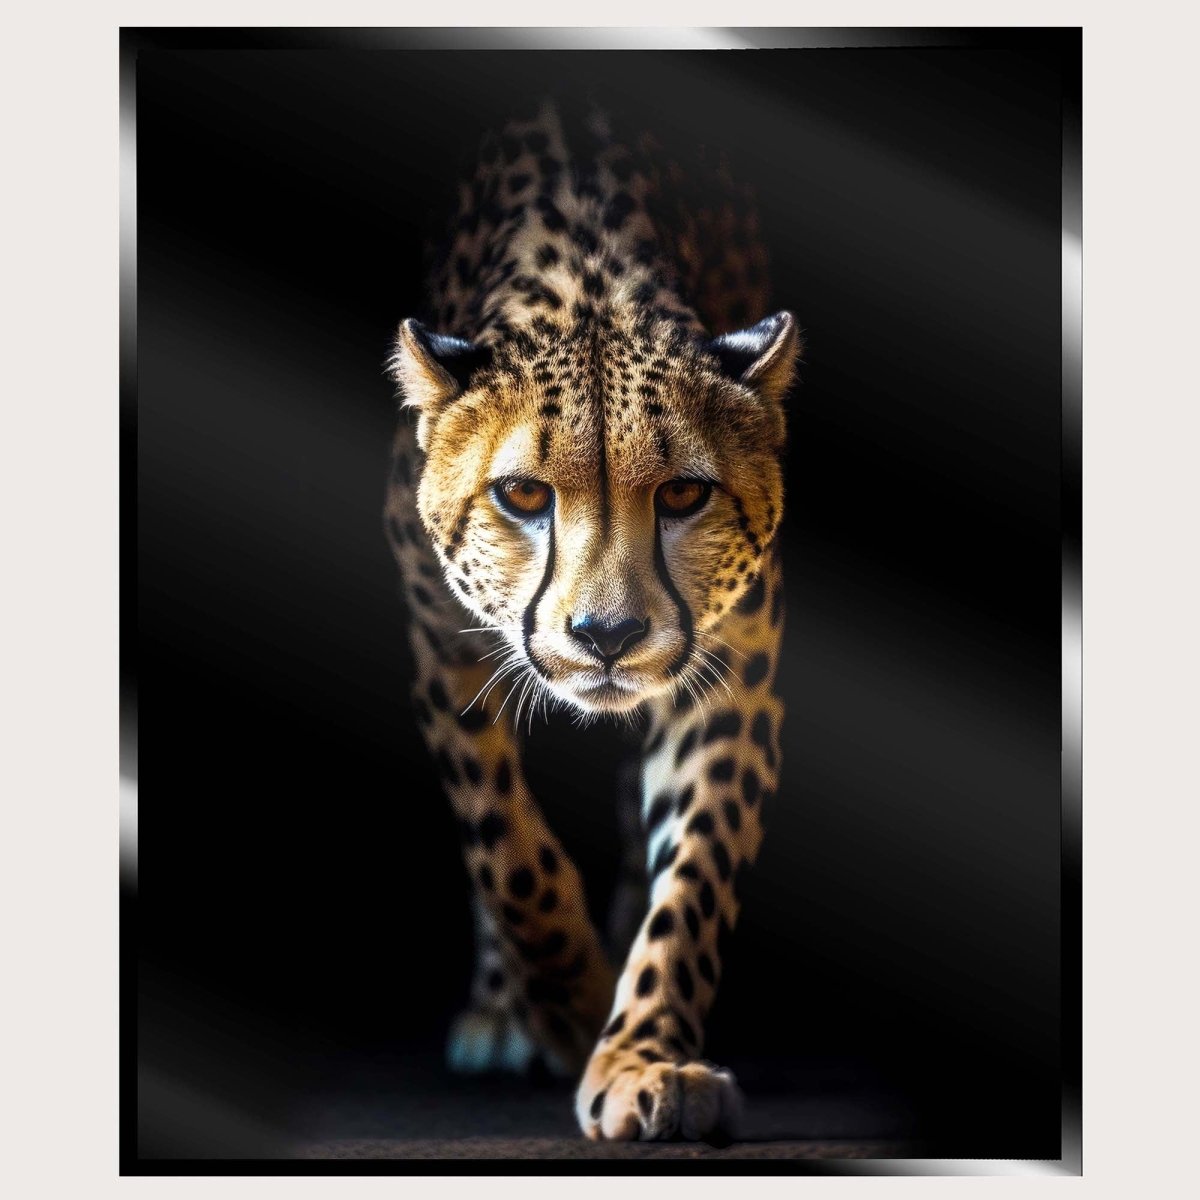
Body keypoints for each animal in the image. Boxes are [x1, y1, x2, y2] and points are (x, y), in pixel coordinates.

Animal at [384, 98, 800, 1142]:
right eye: (523, 494)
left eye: (685, 493)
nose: (606, 638)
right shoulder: (440, 649)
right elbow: (506, 848)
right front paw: (567, 1005)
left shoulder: (735, 667)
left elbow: (693, 873)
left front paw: (645, 1053)